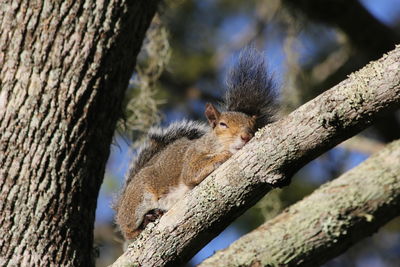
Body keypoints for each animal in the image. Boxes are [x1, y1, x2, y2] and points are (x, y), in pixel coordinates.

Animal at [115, 47, 278, 242]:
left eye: (253, 126)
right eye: (223, 124)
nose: (246, 136)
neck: (214, 143)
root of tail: (121, 204)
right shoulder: (192, 156)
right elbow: (191, 172)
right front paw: (225, 155)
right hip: (139, 197)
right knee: (128, 230)